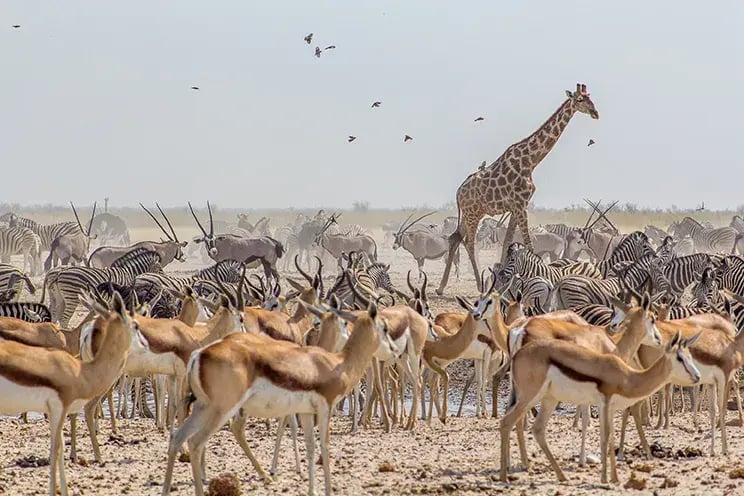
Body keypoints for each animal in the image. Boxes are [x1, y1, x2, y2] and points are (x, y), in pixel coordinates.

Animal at [436, 82, 600, 294]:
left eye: (590, 97)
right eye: (580, 99)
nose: (595, 113)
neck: (530, 161)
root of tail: (458, 193)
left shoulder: (517, 206)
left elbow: (507, 242)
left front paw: (502, 280)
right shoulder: (520, 204)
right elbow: (528, 243)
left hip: (473, 212)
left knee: (455, 237)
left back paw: (441, 287)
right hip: (472, 213)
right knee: (470, 242)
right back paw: (479, 285)